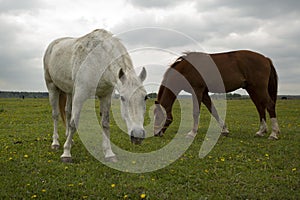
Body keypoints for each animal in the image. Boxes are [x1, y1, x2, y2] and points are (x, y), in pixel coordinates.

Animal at [43, 28, 148, 162]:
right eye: (123, 98)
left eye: (145, 97)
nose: (138, 135)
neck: (99, 60)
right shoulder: (80, 95)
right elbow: (73, 123)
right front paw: (66, 154)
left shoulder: (105, 96)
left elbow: (105, 123)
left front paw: (109, 154)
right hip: (52, 87)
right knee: (55, 115)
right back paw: (55, 143)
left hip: (70, 92)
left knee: (67, 112)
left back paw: (69, 139)